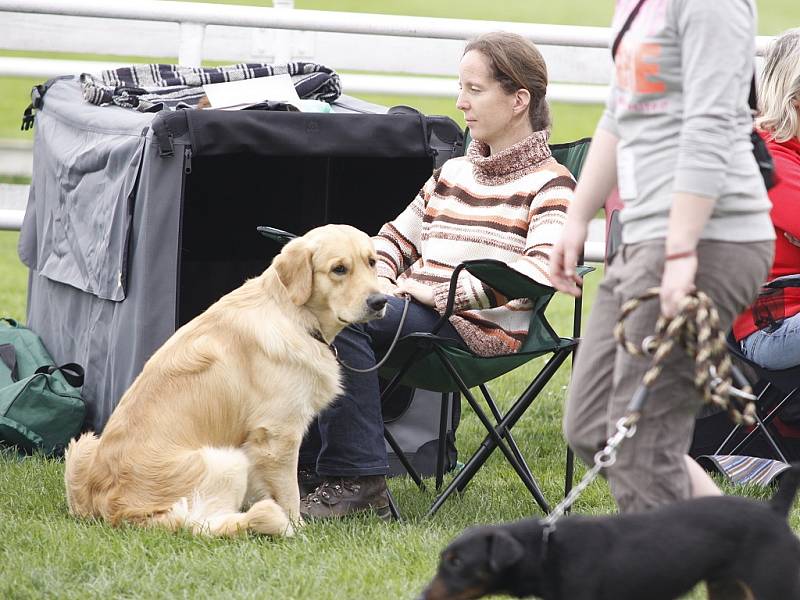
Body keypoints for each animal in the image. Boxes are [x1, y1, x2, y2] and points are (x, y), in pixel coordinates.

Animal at [418, 466, 800, 596]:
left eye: (456, 563)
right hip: (729, 588)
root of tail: (773, 511)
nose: (421, 595)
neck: (547, 551)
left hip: (773, 585)